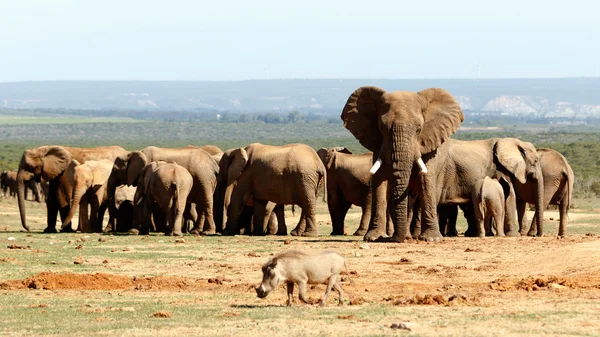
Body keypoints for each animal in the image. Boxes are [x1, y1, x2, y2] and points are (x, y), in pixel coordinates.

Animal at [340, 85, 466, 240]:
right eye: (382, 128)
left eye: (419, 129)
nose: (397, 239)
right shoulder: (378, 144)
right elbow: (380, 182)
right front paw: (374, 237)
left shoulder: (429, 143)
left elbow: (426, 180)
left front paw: (432, 239)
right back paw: (407, 236)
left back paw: (414, 236)